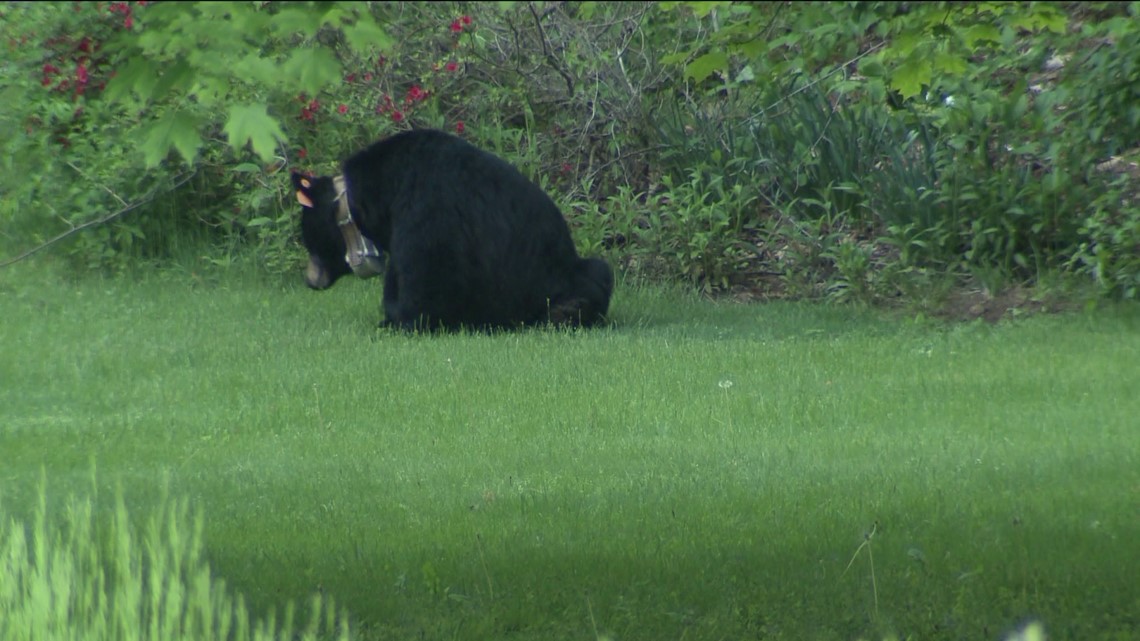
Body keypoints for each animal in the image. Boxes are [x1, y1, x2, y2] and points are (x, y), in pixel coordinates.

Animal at [290, 128, 614, 332]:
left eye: (307, 237)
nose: (310, 280)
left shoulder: (423, 208)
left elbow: (425, 275)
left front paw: (399, 319)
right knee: (599, 270)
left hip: (557, 276)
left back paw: (565, 312)